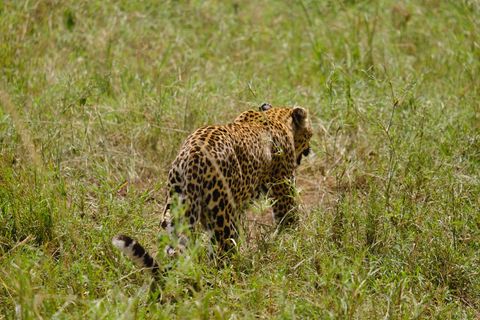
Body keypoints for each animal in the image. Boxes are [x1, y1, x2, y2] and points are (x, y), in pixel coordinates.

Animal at [113, 103, 316, 278]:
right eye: (310, 134)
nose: (310, 148)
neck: (276, 116)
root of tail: (194, 155)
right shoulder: (283, 188)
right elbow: (289, 220)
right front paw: (293, 244)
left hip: (174, 209)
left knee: (173, 250)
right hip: (221, 218)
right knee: (221, 256)